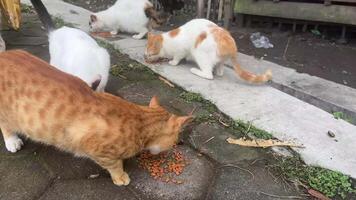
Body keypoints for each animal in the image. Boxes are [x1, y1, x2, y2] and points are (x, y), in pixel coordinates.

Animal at [0, 50, 192, 186]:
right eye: (174, 141)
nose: (177, 145)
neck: (139, 122)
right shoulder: (96, 149)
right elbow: (114, 164)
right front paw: (120, 176)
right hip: (6, 114)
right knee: (5, 126)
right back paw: (12, 141)